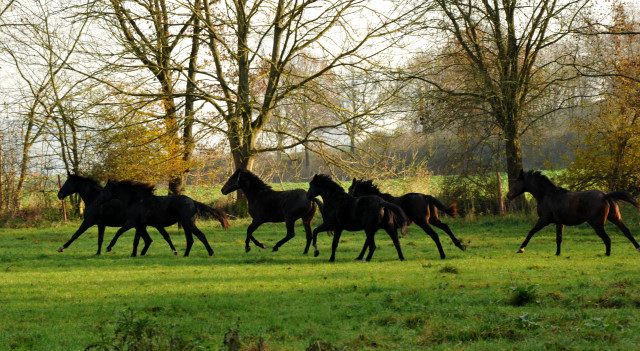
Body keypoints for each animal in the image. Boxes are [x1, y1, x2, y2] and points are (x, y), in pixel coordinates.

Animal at [100, 180, 230, 258]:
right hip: (185, 224)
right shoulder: (140, 225)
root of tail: (193, 202)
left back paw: (211, 253)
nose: (99, 200)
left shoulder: (132, 222)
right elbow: (137, 240)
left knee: (200, 235)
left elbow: (119, 232)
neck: (136, 200)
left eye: (105, 190)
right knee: (190, 240)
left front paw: (108, 248)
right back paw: (185, 255)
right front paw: (134, 254)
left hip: (189, 223)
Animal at [510, 170, 640, 256]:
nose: (508, 196)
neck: (548, 196)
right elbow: (559, 238)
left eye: (515, 182)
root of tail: (605, 196)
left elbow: (531, 232)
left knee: (607, 238)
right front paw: (557, 253)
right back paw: (637, 248)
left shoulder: (544, 220)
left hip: (597, 224)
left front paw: (521, 249)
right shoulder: (559, 222)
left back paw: (607, 254)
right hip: (615, 218)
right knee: (627, 232)